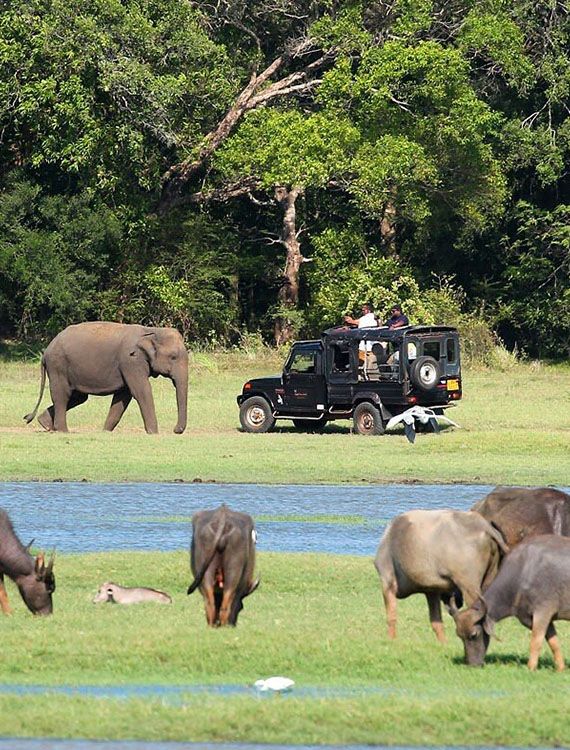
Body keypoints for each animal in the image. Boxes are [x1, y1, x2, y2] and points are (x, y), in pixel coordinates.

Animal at [24, 322, 188, 434]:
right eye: (173, 357)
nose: (175, 430)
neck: (151, 331)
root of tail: (46, 352)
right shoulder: (130, 361)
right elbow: (141, 391)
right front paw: (154, 433)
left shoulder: (128, 366)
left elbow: (123, 396)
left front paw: (105, 431)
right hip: (58, 366)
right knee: (62, 395)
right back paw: (63, 430)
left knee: (78, 397)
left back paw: (45, 423)